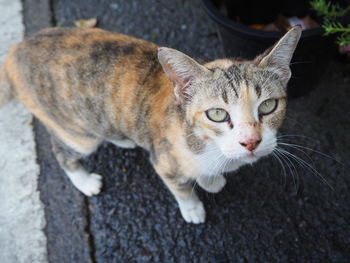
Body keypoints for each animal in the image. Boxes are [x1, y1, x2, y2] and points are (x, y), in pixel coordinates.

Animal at [0, 25, 300, 225]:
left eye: (268, 106)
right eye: (216, 114)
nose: (251, 141)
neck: (207, 145)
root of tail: (15, 51)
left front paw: (211, 179)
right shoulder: (165, 162)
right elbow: (181, 188)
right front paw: (192, 208)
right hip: (77, 133)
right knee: (63, 151)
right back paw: (85, 181)